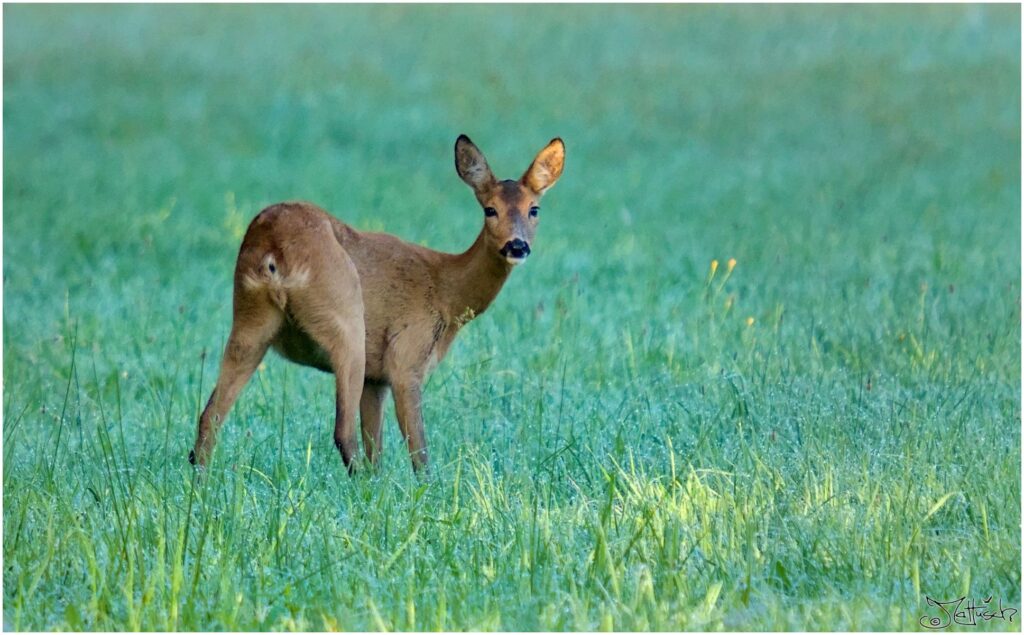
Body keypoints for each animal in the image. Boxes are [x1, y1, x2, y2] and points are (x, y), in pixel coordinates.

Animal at [188, 135, 565, 471]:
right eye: (490, 209)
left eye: (534, 209)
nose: (517, 246)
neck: (448, 292)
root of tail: (272, 248)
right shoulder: (406, 358)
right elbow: (419, 453)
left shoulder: (375, 377)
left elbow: (378, 453)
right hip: (344, 318)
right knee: (342, 433)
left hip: (249, 321)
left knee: (208, 418)